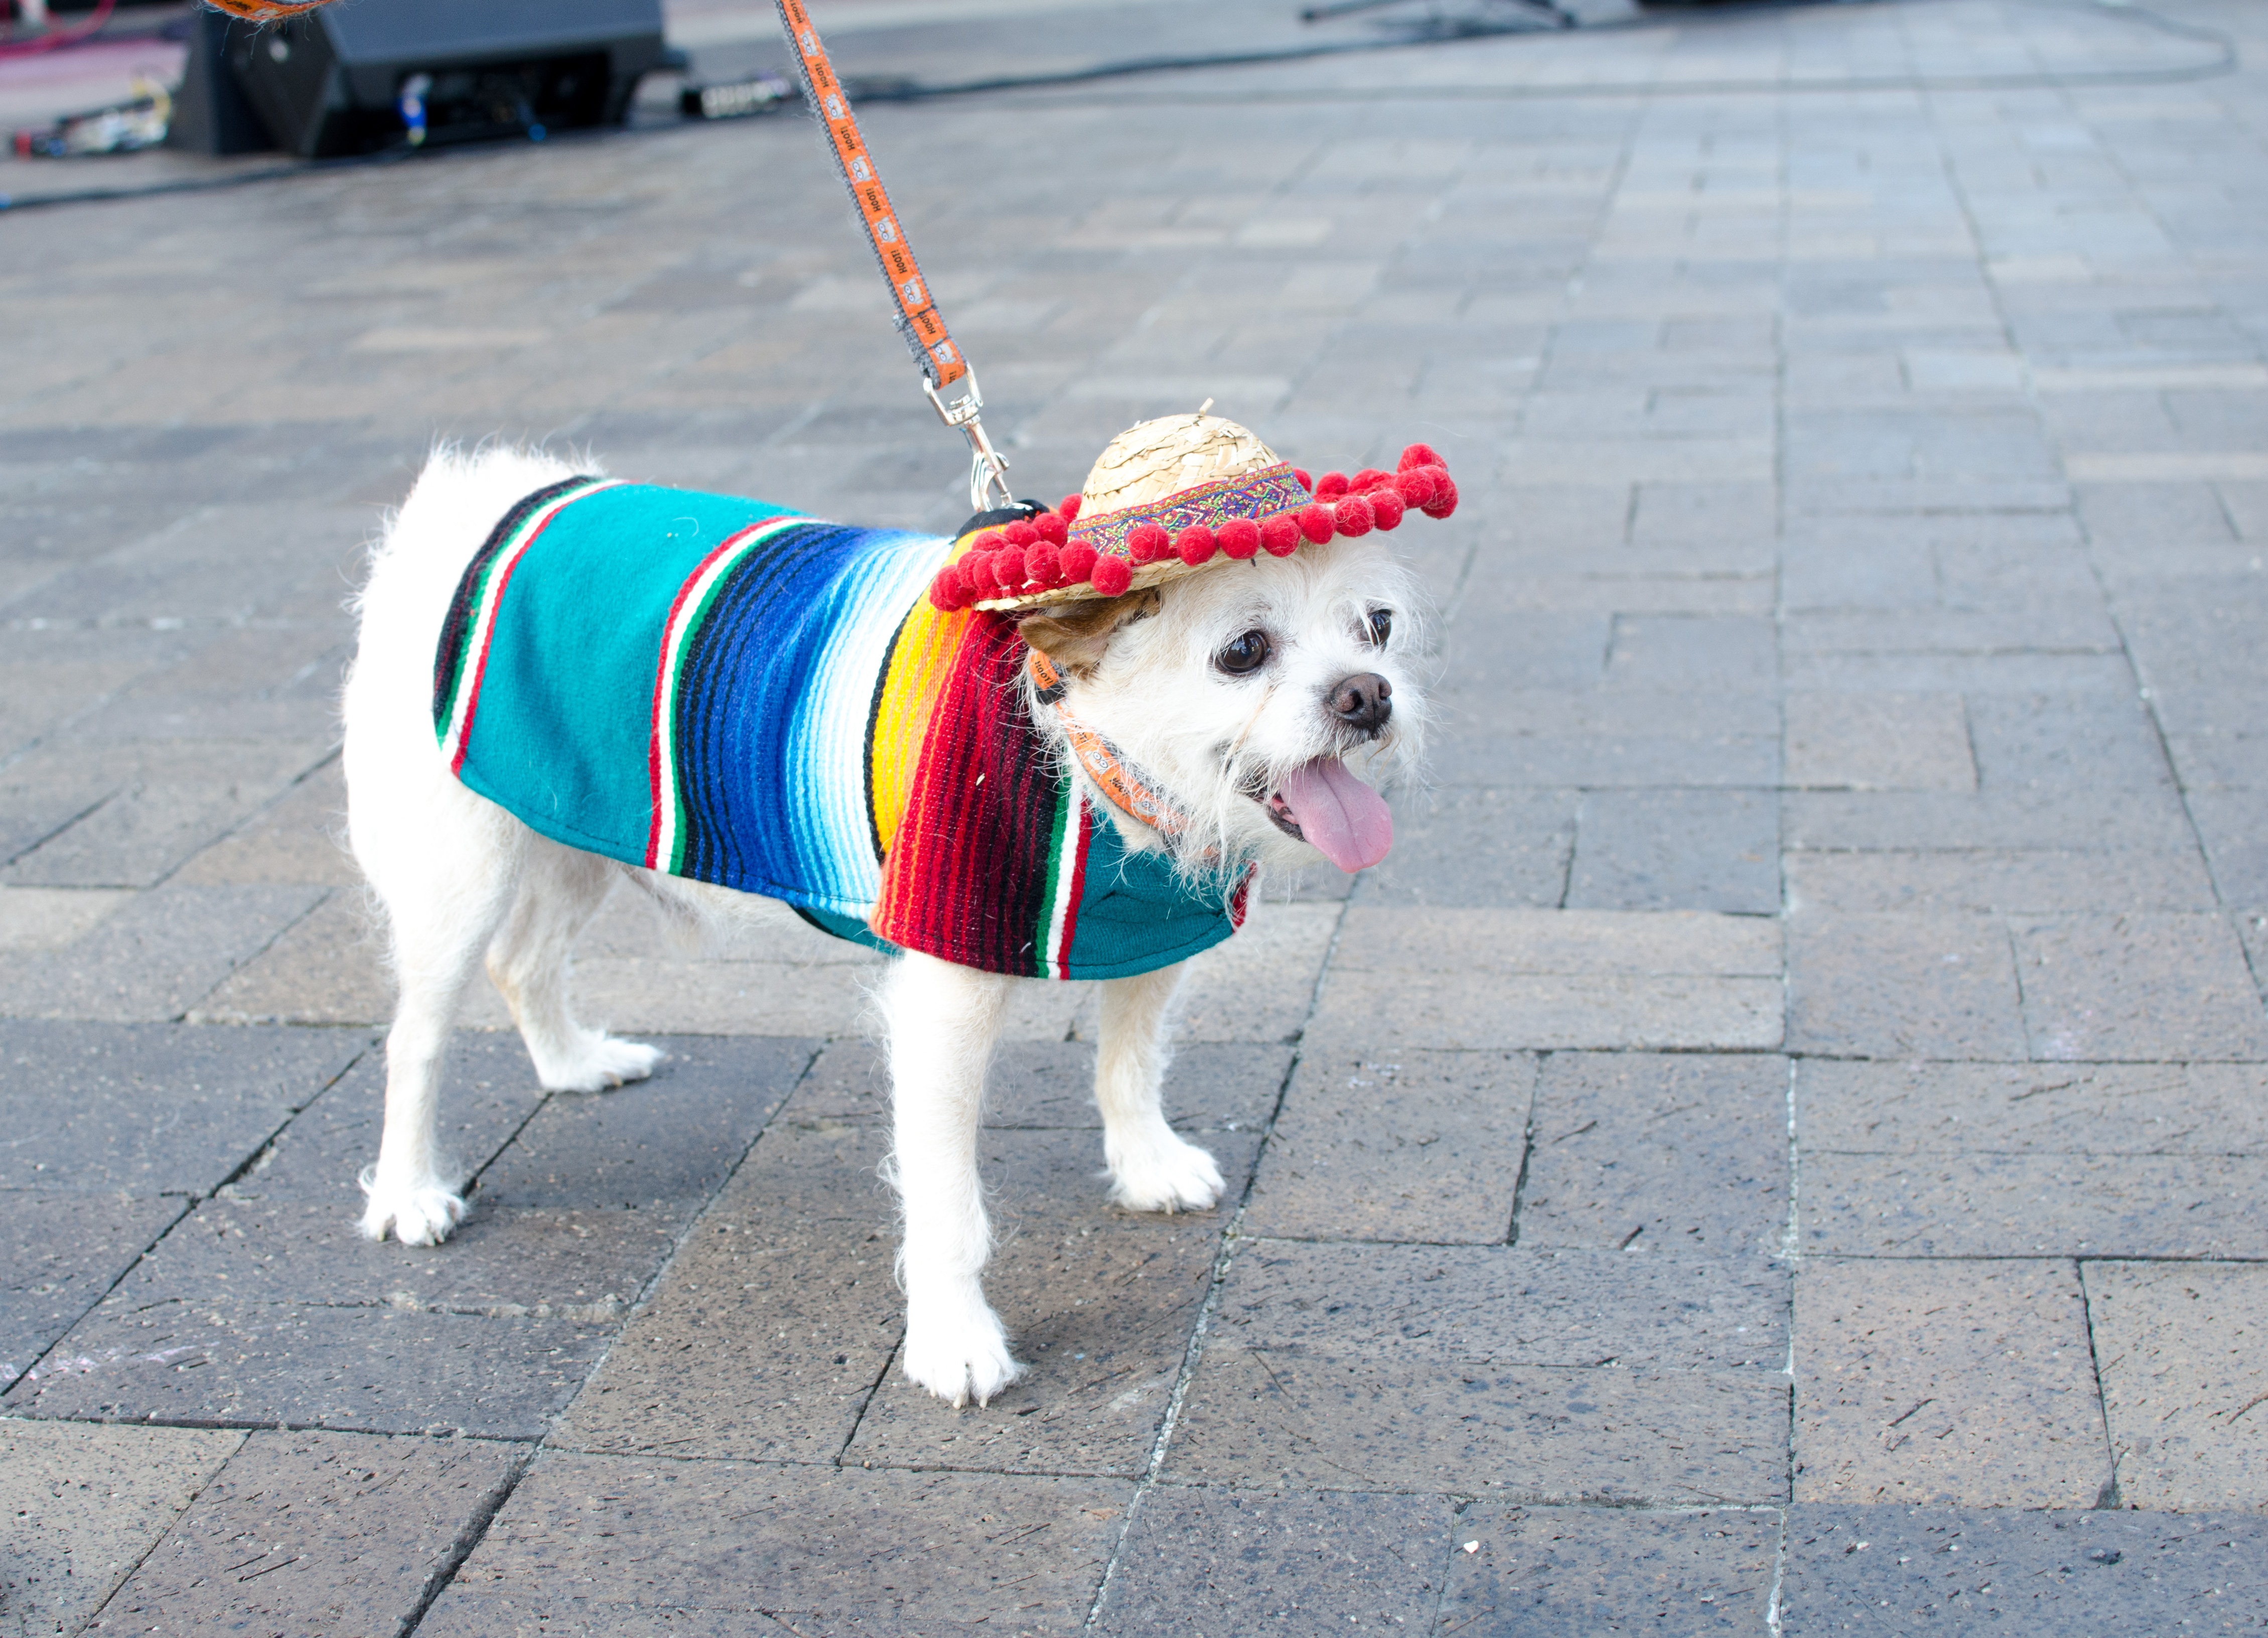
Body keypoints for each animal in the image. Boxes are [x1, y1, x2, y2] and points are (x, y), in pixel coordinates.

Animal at [335, 438, 1424, 1406]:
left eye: (1375, 628)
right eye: (1243, 651)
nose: (1368, 696)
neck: (1077, 748)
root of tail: (477, 501)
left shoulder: (1152, 940)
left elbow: (1130, 1066)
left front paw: (1145, 1164)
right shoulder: (942, 1008)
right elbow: (946, 1202)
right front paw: (955, 1340)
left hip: (569, 826)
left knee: (523, 963)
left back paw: (572, 1063)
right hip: (463, 870)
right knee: (418, 1036)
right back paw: (409, 1191)